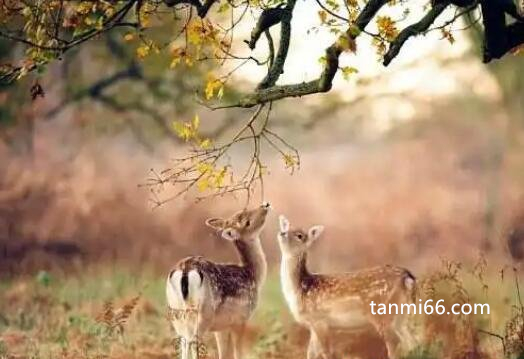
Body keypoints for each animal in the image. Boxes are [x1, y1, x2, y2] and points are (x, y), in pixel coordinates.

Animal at [165, 204, 272, 359]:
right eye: (246, 222)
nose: (265, 205)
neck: (253, 275)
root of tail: (185, 270)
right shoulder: (241, 319)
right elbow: (237, 353)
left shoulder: (221, 327)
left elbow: (223, 353)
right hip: (204, 313)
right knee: (194, 341)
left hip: (176, 312)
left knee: (183, 341)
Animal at [278, 217, 418, 359]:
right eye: (286, 228)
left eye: (300, 235)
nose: (282, 233)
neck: (300, 289)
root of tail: (407, 277)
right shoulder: (312, 325)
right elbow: (310, 353)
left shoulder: (319, 320)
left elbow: (326, 352)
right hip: (402, 314)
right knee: (412, 341)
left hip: (382, 311)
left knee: (394, 343)